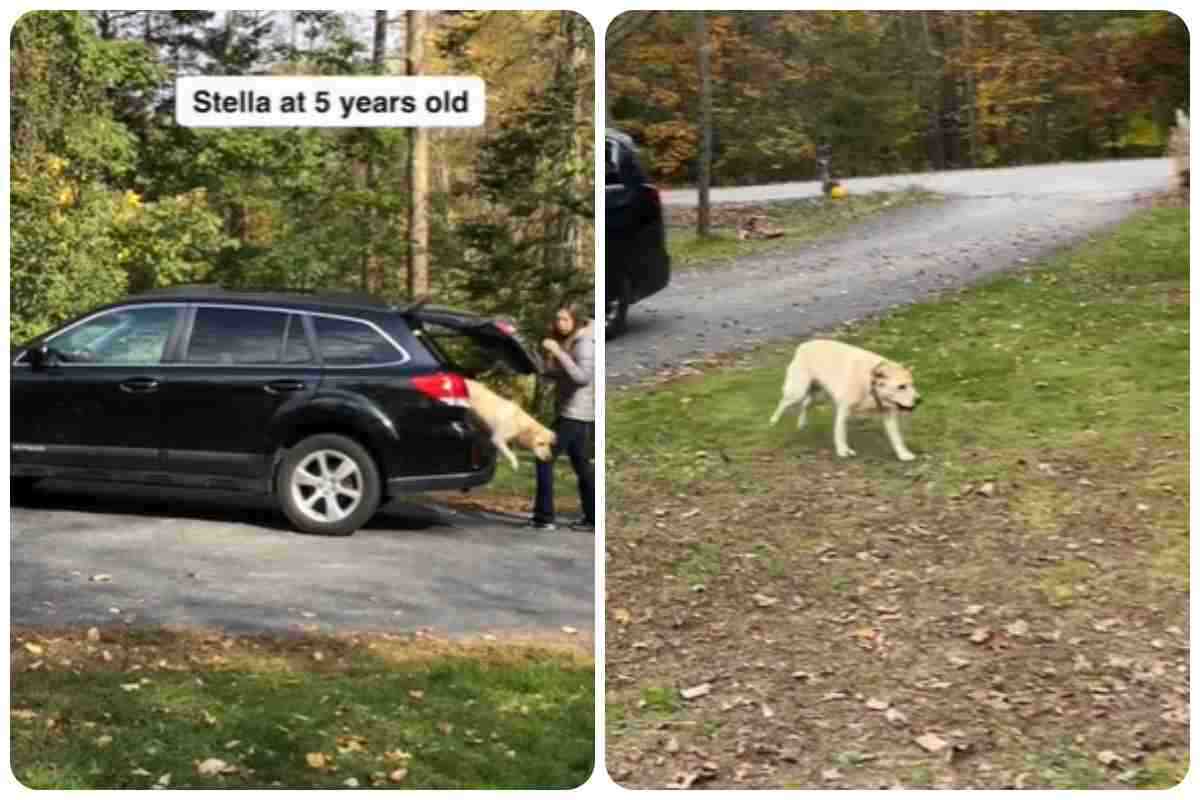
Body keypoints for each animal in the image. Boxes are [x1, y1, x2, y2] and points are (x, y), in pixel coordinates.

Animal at [768, 340, 926, 462]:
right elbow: (840, 433)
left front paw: (903, 454)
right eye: (901, 386)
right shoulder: (843, 411)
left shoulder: (889, 415)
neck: (870, 383)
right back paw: (773, 421)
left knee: (805, 404)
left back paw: (801, 424)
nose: (919, 400)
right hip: (797, 391)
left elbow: (897, 438)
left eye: (912, 384)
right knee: (784, 402)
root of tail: (804, 345)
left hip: (819, 396)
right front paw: (843, 450)